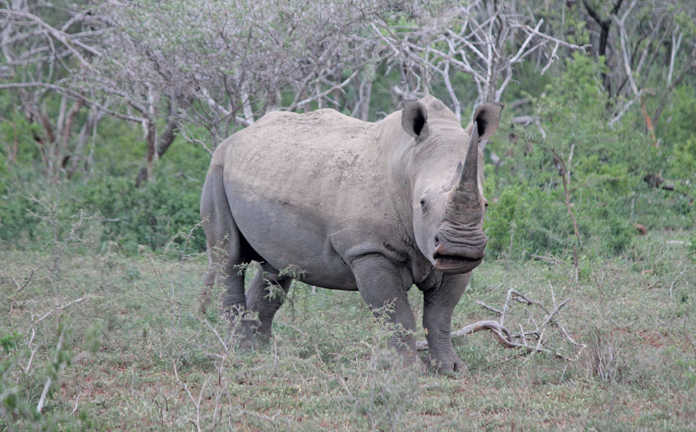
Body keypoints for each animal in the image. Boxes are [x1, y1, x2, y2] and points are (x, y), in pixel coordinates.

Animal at [200, 95, 501, 372]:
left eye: (486, 204)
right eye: (423, 203)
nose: (461, 247)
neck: (407, 166)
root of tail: (236, 137)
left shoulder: (452, 263)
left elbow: (440, 315)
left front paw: (451, 369)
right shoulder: (369, 250)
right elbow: (397, 313)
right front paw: (408, 370)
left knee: (276, 267)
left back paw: (257, 351)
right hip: (217, 167)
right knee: (229, 259)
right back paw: (238, 351)